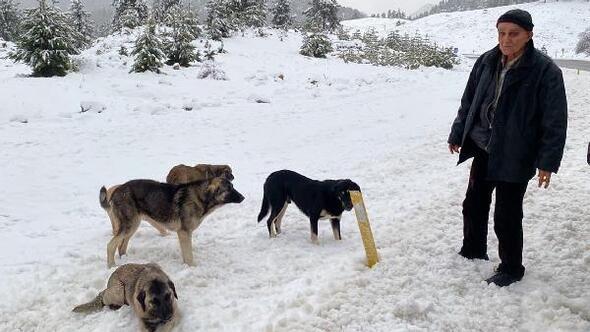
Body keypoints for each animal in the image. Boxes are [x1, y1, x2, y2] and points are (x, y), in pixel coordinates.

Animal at [100, 176, 244, 268]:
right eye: (229, 189)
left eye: (233, 187)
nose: (243, 197)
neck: (200, 197)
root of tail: (116, 191)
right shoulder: (184, 232)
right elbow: (189, 255)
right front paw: (192, 268)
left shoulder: (185, 234)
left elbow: (186, 254)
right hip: (129, 225)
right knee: (110, 245)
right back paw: (112, 266)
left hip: (133, 225)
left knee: (121, 246)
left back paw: (125, 259)